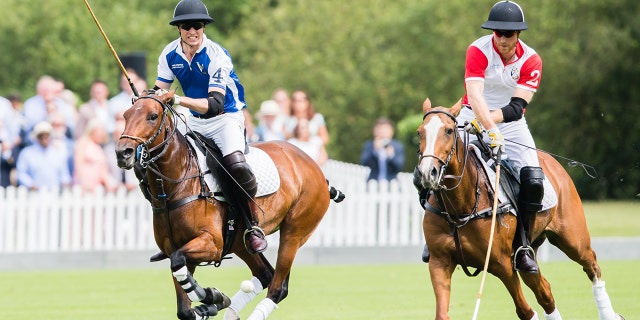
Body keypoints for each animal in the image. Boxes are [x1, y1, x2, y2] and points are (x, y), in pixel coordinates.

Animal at [115, 90, 344, 320]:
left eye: (152, 116)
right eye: (125, 115)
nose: (122, 153)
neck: (178, 185)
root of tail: (316, 169)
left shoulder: (212, 243)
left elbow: (179, 263)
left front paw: (212, 296)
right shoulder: (176, 248)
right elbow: (184, 307)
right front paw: (211, 302)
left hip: (295, 231)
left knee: (278, 287)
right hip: (240, 242)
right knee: (266, 274)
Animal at [412, 99, 624, 318]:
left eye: (449, 130)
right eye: (419, 132)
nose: (427, 173)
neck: (460, 208)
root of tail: (553, 163)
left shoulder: (501, 264)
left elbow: (524, 310)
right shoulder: (439, 262)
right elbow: (441, 314)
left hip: (573, 239)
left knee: (592, 266)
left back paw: (610, 315)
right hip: (530, 254)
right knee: (544, 290)